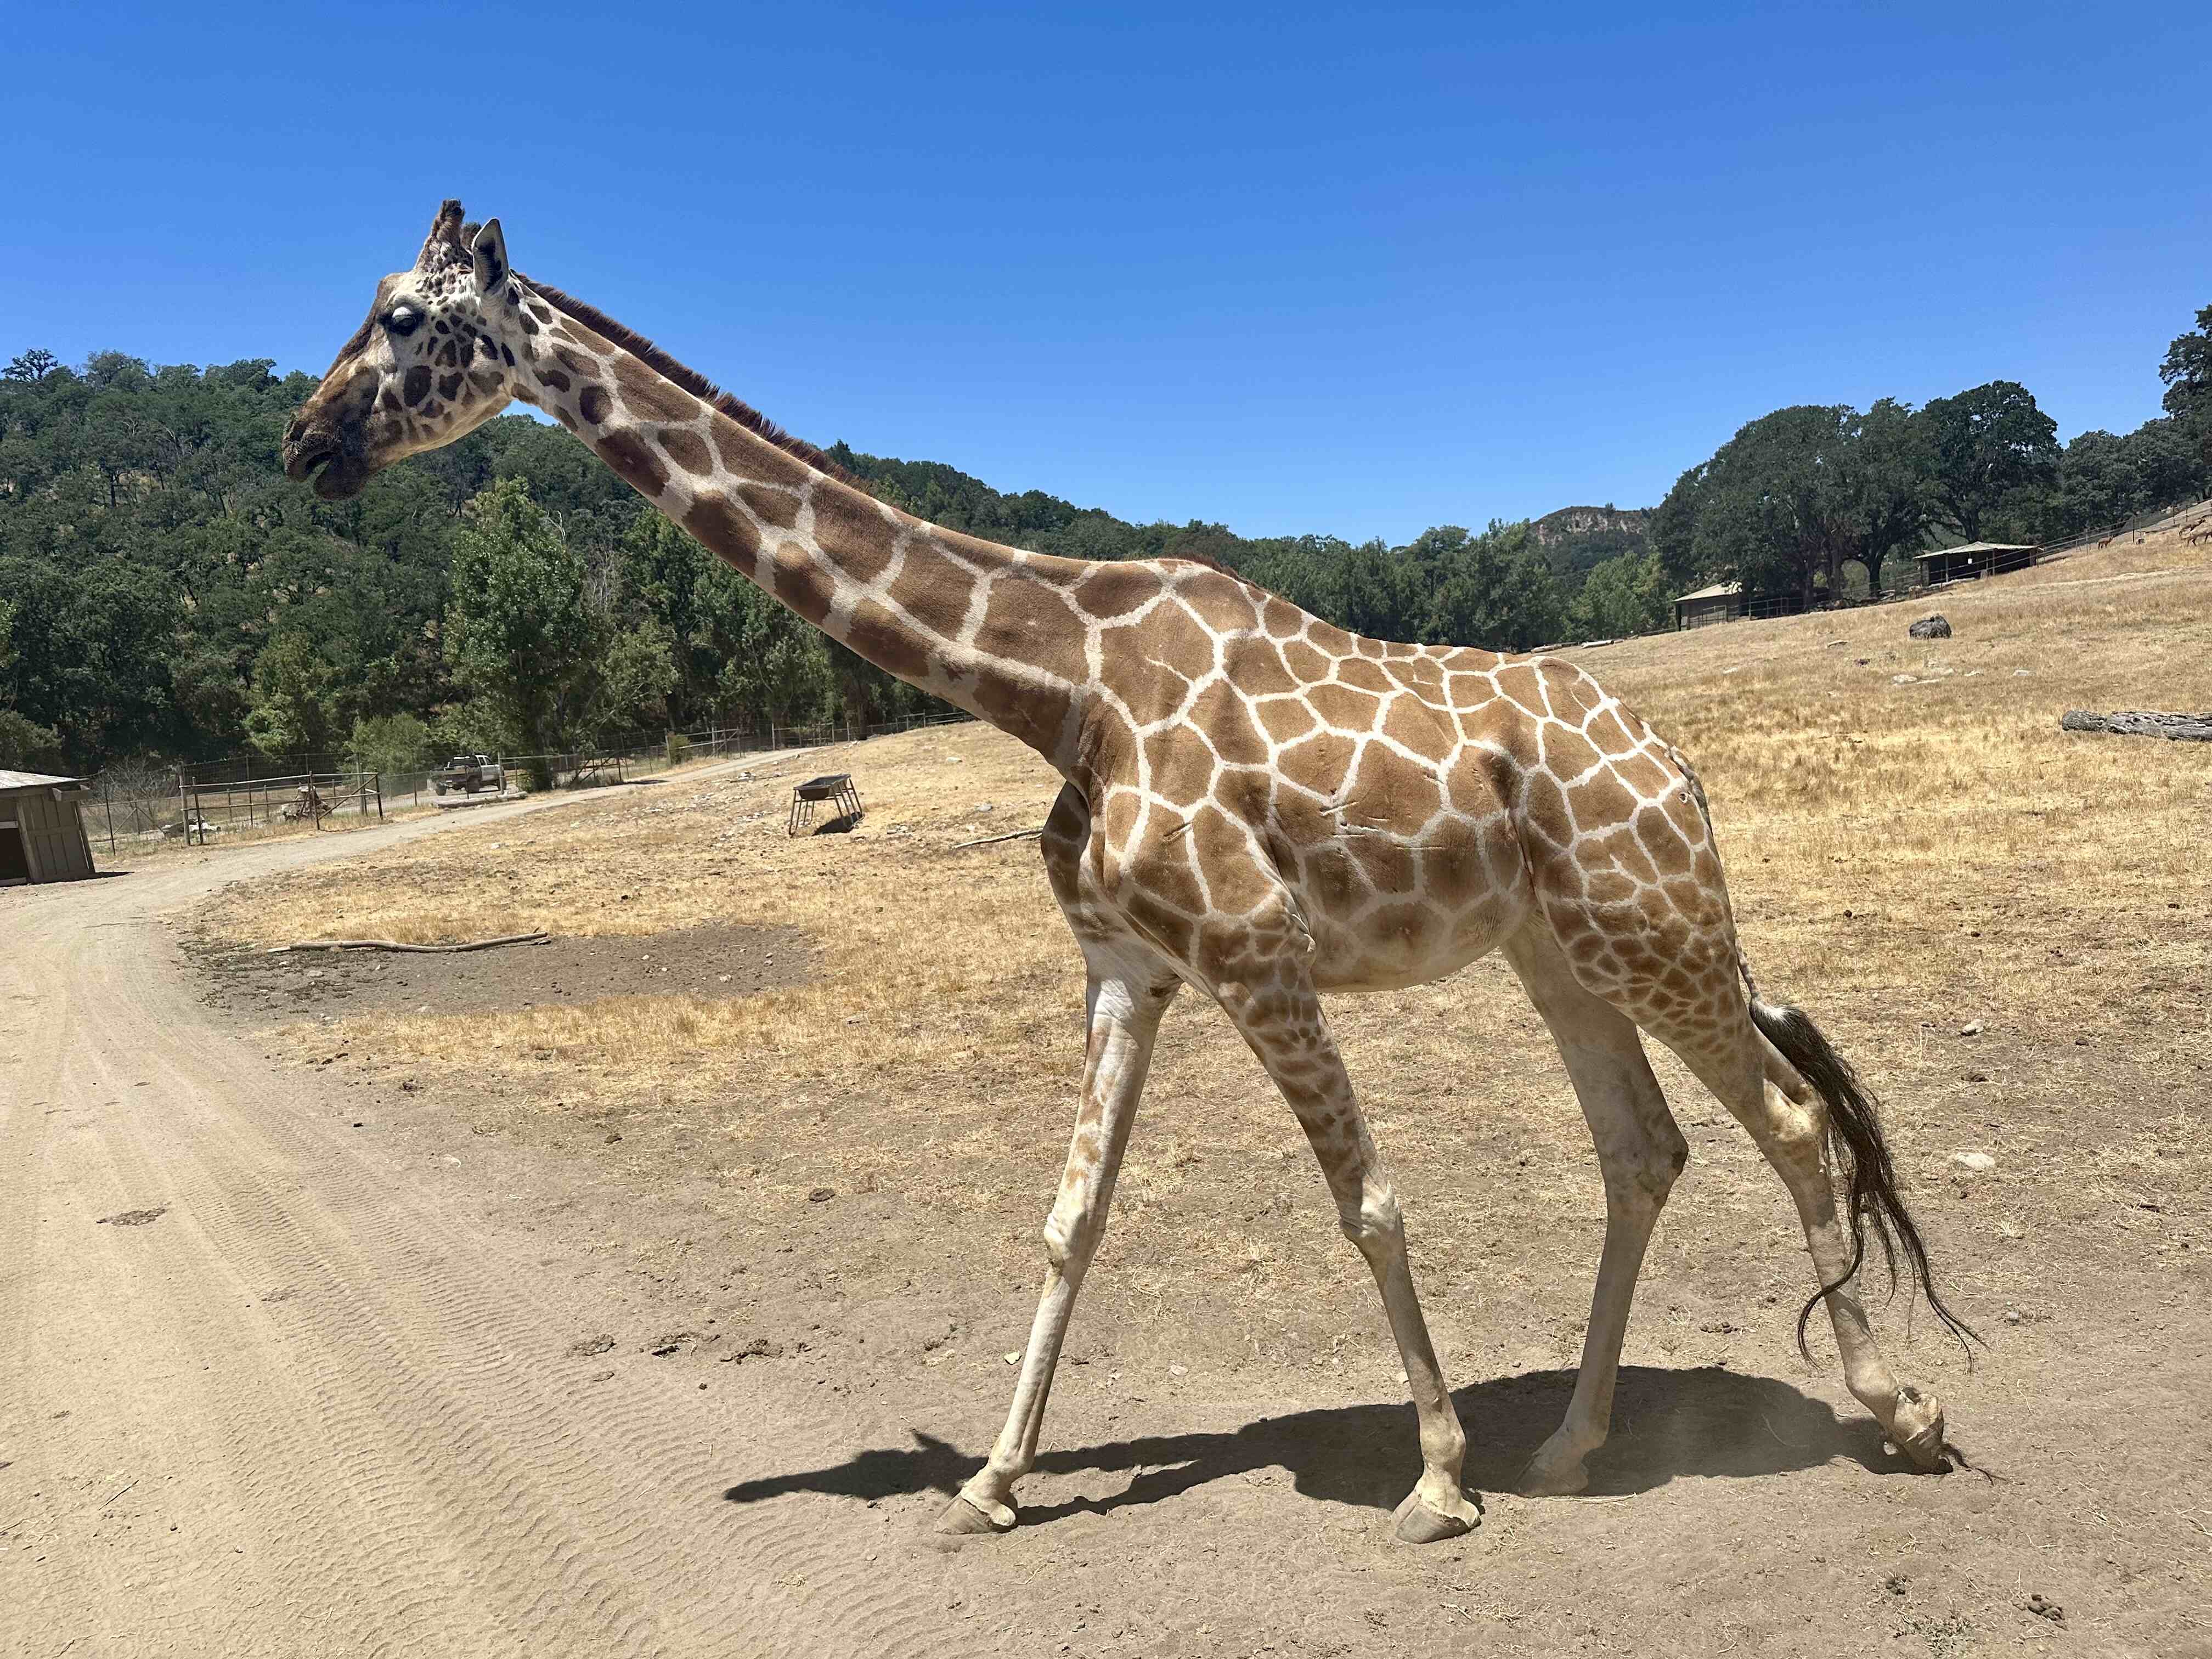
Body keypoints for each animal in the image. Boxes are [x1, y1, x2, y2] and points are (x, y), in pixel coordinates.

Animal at [284, 203, 1973, 1543]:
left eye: (408, 317)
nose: (304, 442)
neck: (1055, 684)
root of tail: (1677, 764)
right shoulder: (1127, 966)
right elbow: (1071, 1217)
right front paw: (991, 1483)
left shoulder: (1255, 952)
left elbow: (1368, 1205)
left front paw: (1435, 1479)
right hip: (1554, 951)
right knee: (1647, 1152)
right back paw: (1569, 1444)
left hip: (1654, 928)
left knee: (1791, 1119)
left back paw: (1897, 1414)